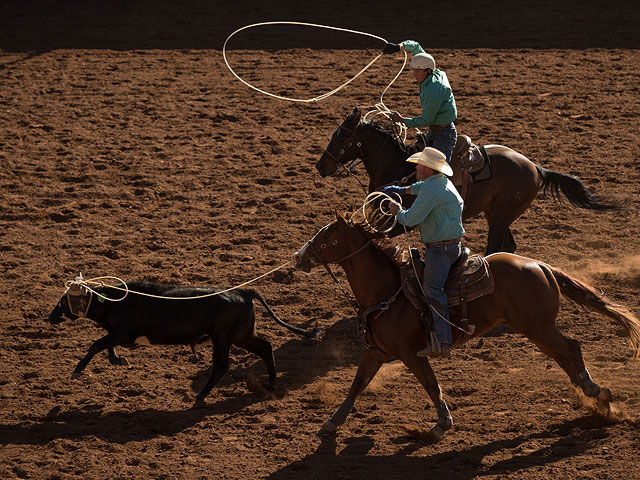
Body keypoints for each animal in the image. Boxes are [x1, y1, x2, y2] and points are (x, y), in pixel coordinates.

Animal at [292, 212, 640, 440]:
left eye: (327, 236)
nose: (298, 256)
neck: (387, 292)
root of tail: (541, 265)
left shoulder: (410, 353)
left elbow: (431, 384)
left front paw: (442, 424)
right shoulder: (375, 351)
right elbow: (357, 384)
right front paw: (332, 422)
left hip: (537, 327)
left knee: (571, 347)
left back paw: (592, 389)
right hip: (536, 329)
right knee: (561, 353)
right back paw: (587, 392)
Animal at [318, 107, 616, 256]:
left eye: (342, 136)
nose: (320, 166)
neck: (399, 165)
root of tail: (535, 167)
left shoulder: (403, 220)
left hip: (500, 216)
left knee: (496, 247)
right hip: (496, 215)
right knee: (509, 246)